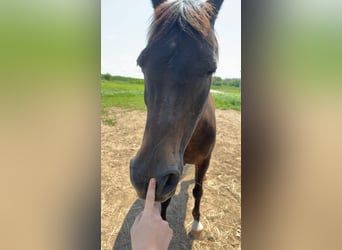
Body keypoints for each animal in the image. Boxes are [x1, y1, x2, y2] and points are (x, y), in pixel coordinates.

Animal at [130, 0, 223, 238]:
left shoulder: (205, 160)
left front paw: (196, 223)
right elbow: (167, 199)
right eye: (141, 63)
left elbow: (198, 190)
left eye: (211, 68)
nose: (148, 177)